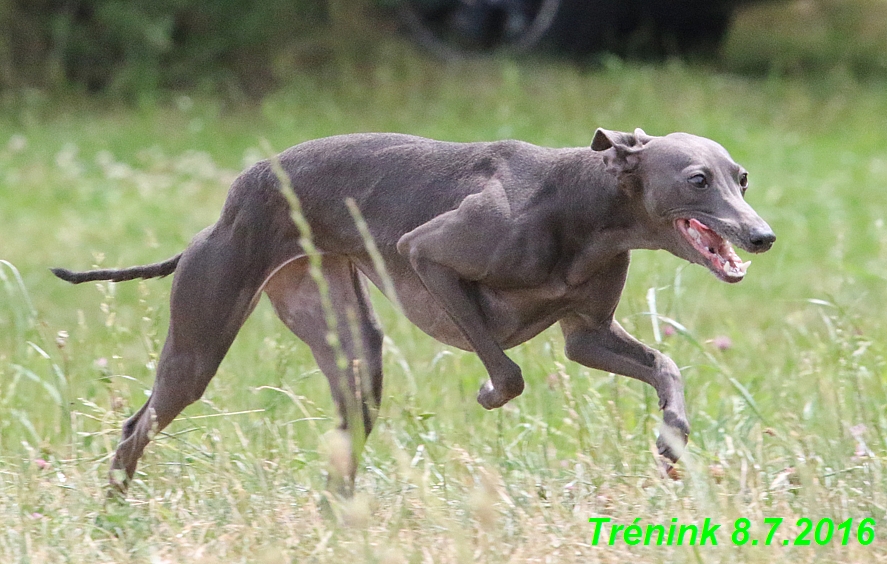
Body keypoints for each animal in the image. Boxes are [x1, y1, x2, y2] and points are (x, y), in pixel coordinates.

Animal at [53, 129, 776, 494]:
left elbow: (665, 368)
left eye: (741, 177)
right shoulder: (427, 255)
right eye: (697, 179)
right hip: (199, 344)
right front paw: (488, 393)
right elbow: (508, 372)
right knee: (138, 424)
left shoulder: (589, 334)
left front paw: (671, 437)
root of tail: (232, 200)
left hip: (352, 351)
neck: (583, 197)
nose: (761, 236)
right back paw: (114, 509)